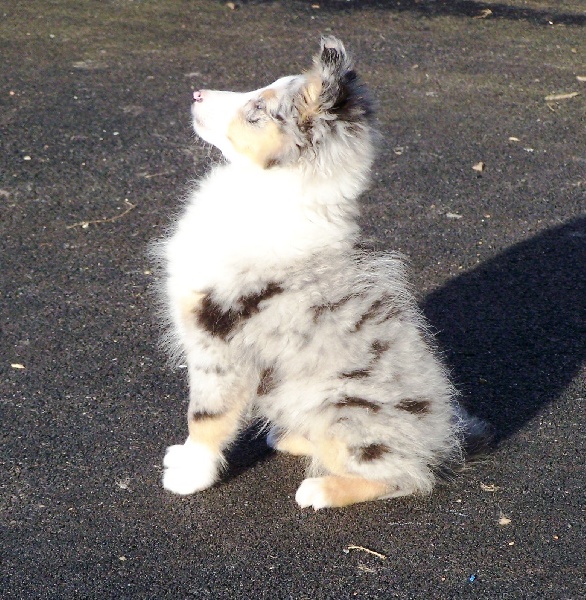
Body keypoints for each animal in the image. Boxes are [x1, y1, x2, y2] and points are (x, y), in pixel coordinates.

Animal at [154, 37, 485, 509]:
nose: (196, 93)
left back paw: (322, 489)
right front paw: (183, 458)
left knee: (406, 476)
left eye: (258, 109)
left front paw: (190, 474)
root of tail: (442, 442)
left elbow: (205, 417)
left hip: (342, 405)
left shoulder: (219, 343)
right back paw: (288, 436)